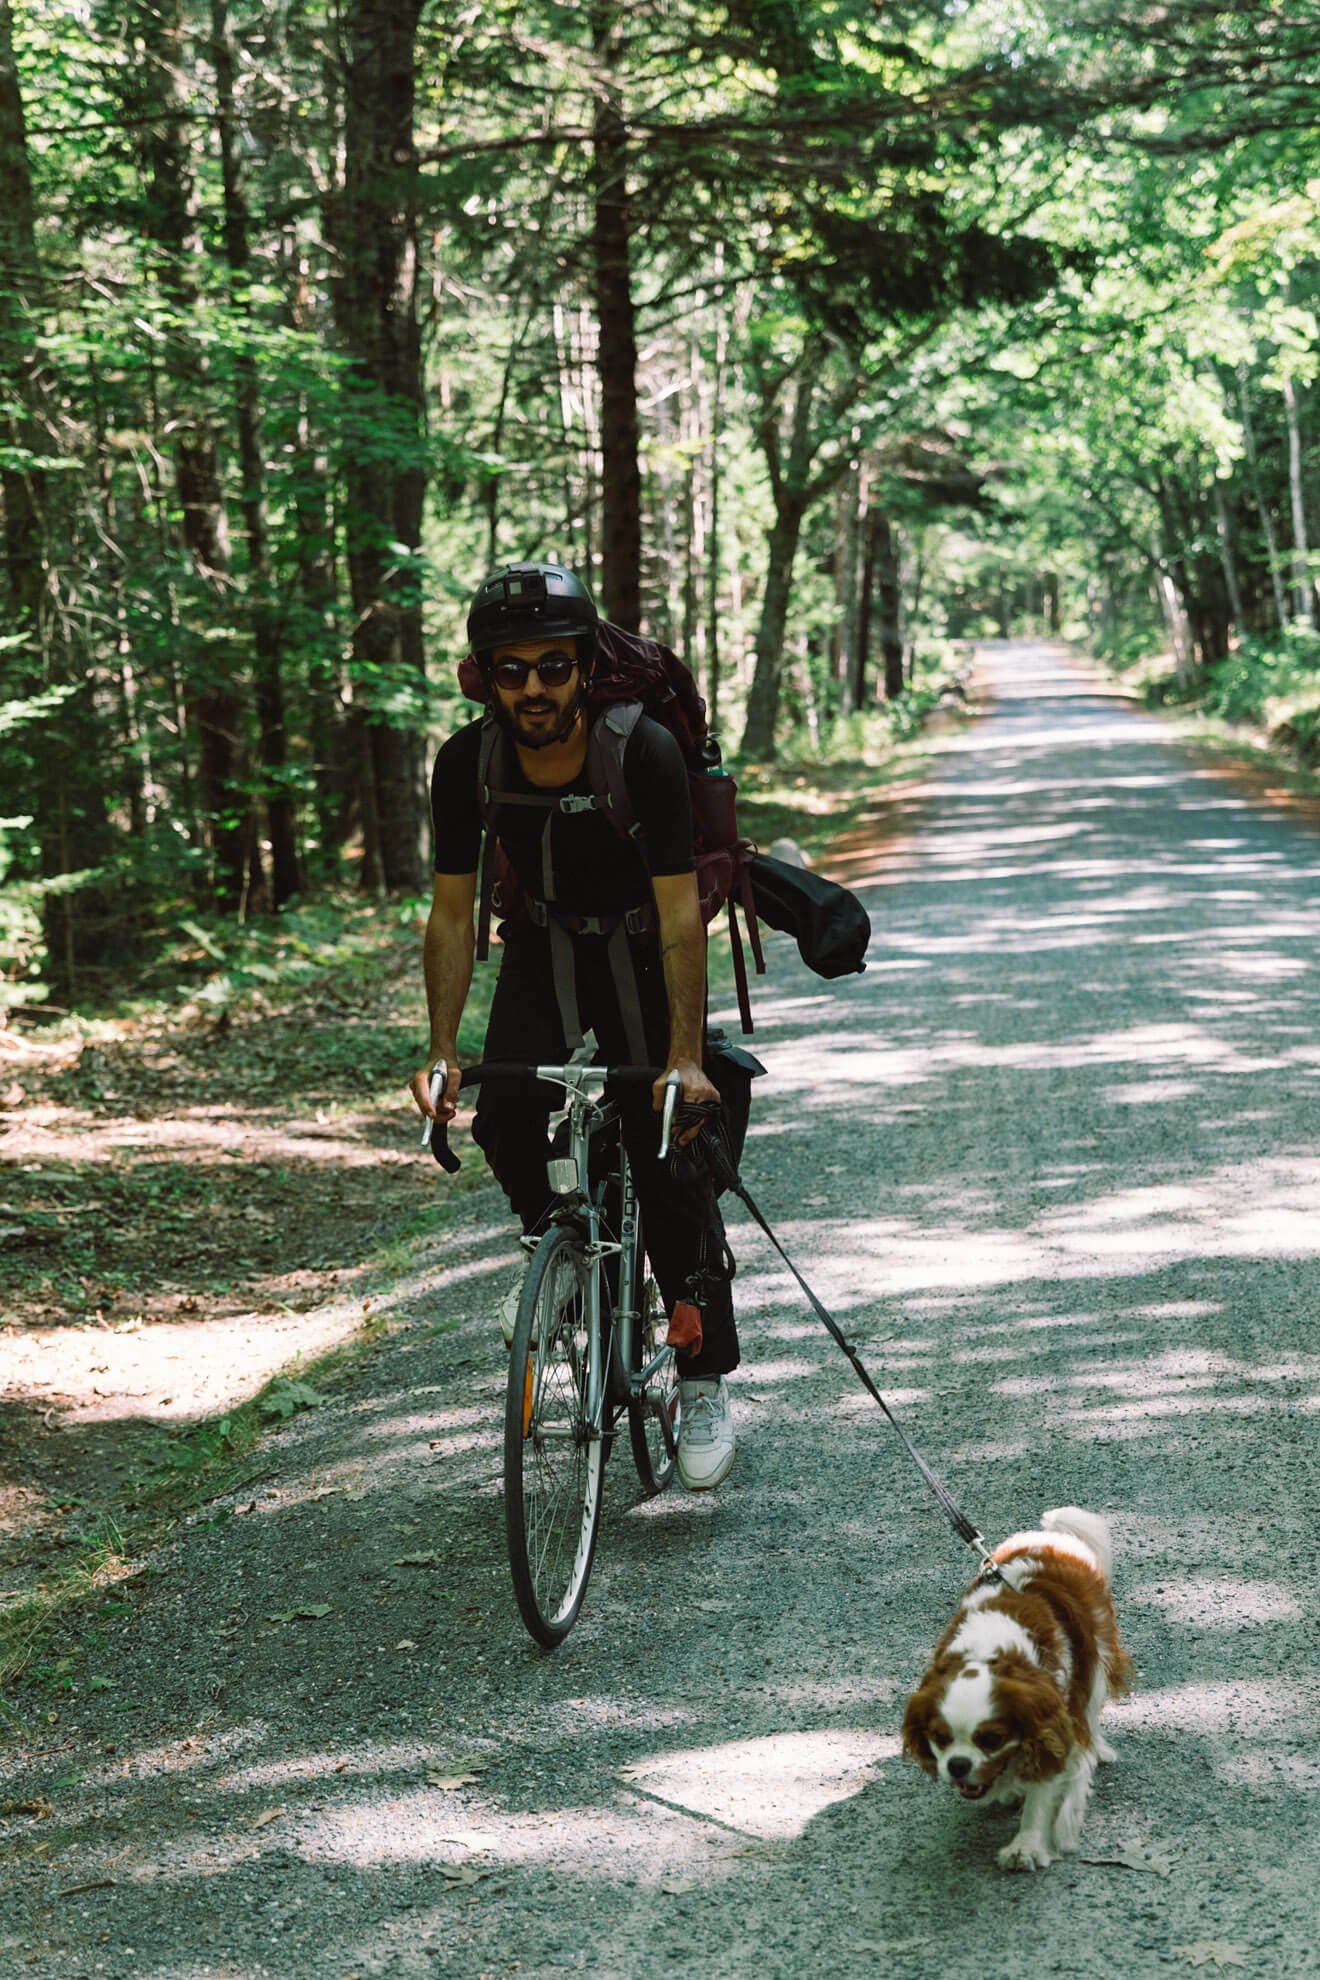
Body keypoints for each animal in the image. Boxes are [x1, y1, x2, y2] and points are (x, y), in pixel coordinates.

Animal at [902, 1512, 1131, 1869]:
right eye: (939, 1738)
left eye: (992, 1738)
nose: (957, 1765)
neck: (990, 1653)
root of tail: (1049, 1537)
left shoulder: (1054, 1721)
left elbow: (1046, 1784)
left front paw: (1027, 1845)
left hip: (1096, 1657)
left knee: (1091, 1712)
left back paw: (1098, 1748)